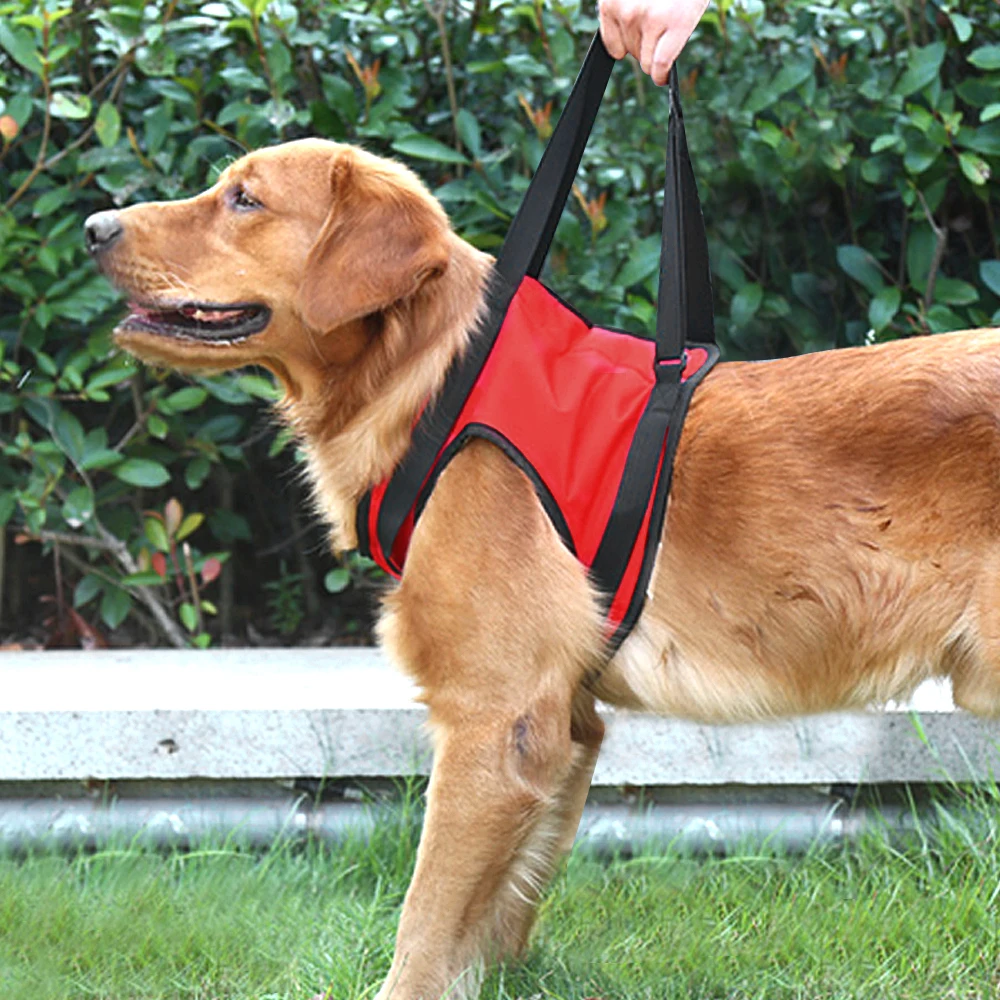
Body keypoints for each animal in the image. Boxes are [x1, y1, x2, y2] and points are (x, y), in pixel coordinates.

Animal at [85, 137, 1000, 999]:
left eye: (246, 199)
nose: (94, 227)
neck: (433, 383)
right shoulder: (564, 724)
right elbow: (496, 914)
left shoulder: (494, 721)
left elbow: (424, 925)